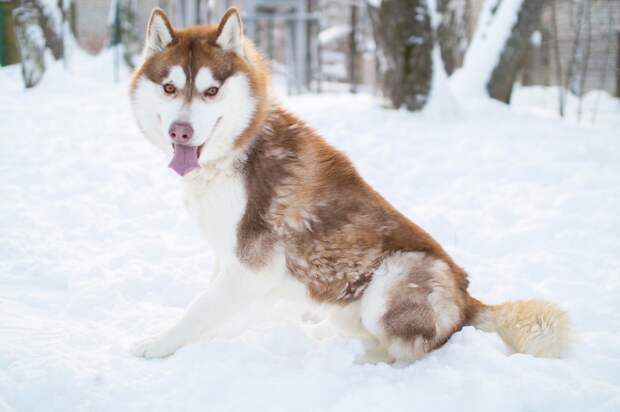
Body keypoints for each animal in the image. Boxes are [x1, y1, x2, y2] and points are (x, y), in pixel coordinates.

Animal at [130, 6, 572, 360]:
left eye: (211, 91)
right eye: (169, 88)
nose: (181, 132)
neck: (237, 149)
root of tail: (467, 297)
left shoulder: (253, 266)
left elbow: (199, 309)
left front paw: (157, 344)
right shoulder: (228, 257)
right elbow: (212, 304)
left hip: (396, 276)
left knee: (407, 352)